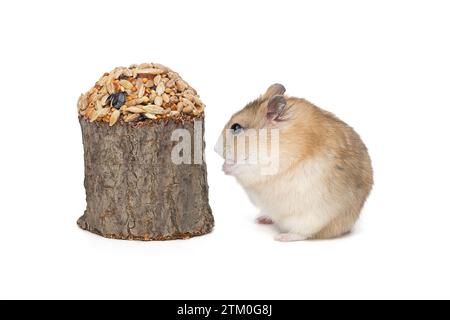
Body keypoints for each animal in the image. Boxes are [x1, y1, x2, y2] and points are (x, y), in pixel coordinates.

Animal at [214, 84, 372, 241]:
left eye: (236, 127)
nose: (214, 148)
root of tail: (346, 225)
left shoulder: (262, 166)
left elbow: (241, 167)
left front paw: (224, 167)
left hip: (312, 218)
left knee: (305, 233)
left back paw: (282, 237)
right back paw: (263, 219)